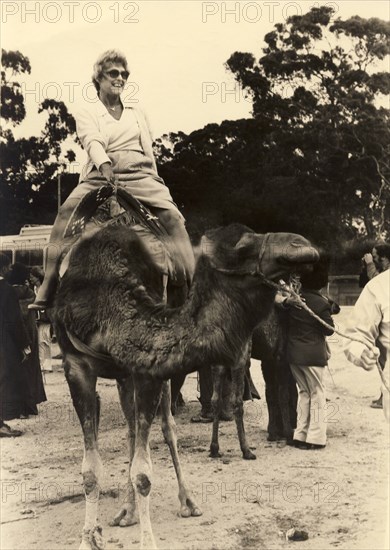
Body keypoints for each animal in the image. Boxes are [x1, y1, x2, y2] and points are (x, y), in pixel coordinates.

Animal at [51, 222, 318, 548]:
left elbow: (143, 472)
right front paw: (89, 537)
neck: (106, 305)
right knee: (131, 433)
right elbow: (91, 471)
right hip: (124, 376)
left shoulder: (148, 371)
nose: (301, 245)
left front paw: (147, 540)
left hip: (141, 378)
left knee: (166, 431)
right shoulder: (76, 367)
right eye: (243, 247)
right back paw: (127, 512)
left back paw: (186, 502)